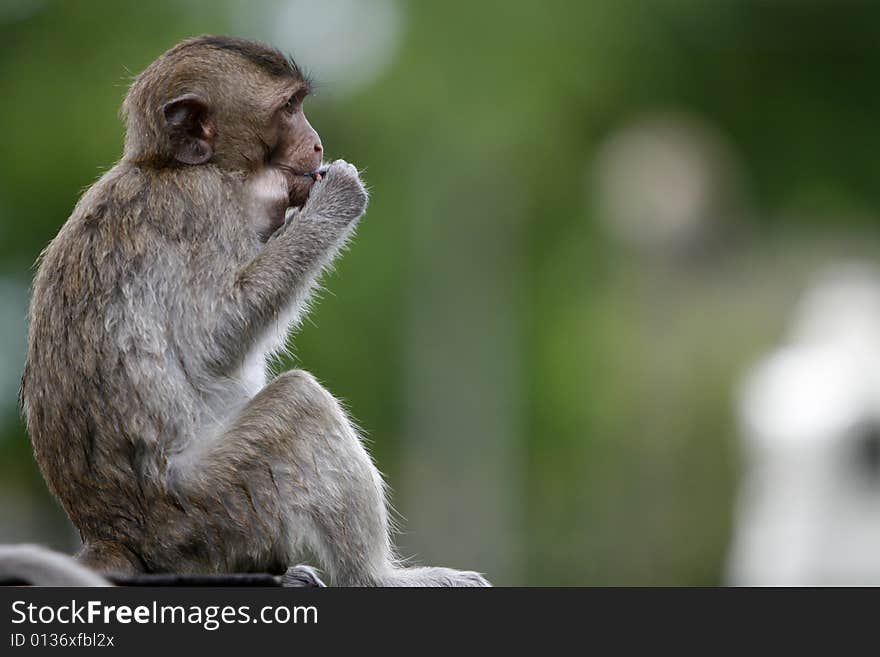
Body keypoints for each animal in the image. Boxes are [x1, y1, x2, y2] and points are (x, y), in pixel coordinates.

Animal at [18, 36, 488, 588]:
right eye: (288, 109)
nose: (317, 145)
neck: (176, 166)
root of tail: (114, 538)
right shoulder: (204, 209)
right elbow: (212, 341)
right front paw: (337, 197)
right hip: (212, 515)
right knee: (299, 405)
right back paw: (378, 578)